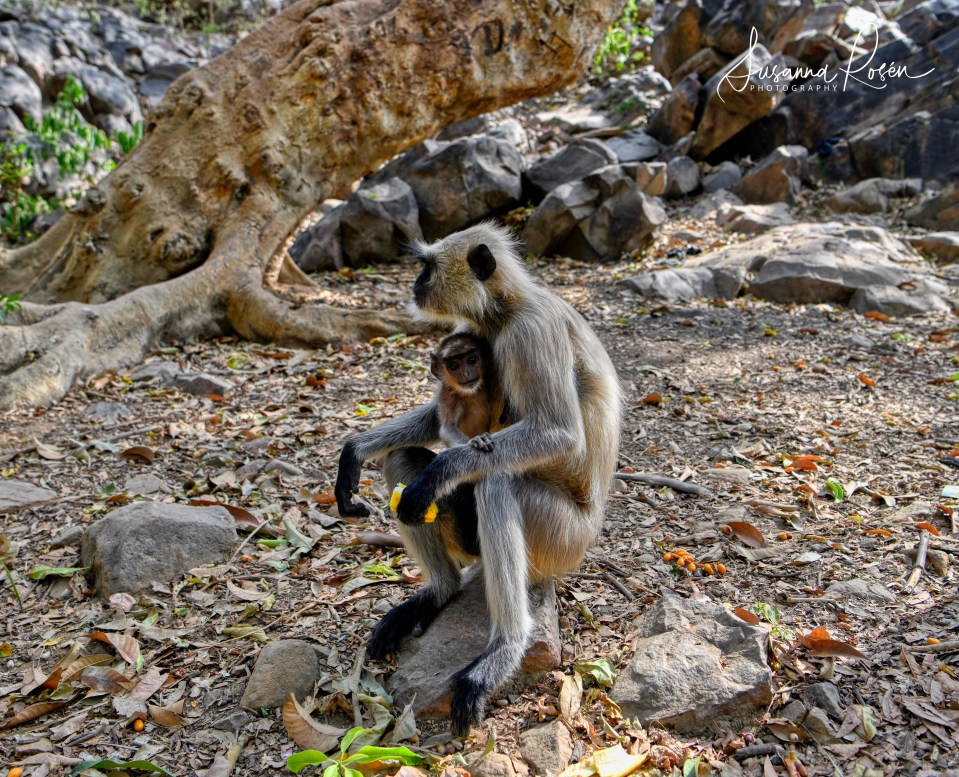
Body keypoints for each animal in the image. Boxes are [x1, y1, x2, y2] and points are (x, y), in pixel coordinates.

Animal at [334, 222, 621, 736]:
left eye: (427, 267)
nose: (416, 284)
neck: (507, 309)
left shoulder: (531, 333)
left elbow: (560, 434)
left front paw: (444, 469)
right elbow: (437, 421)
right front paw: (356, 450)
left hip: (562, 541)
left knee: (495, 484)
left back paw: (505, 649)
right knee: (403, 464)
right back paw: (440, 591)